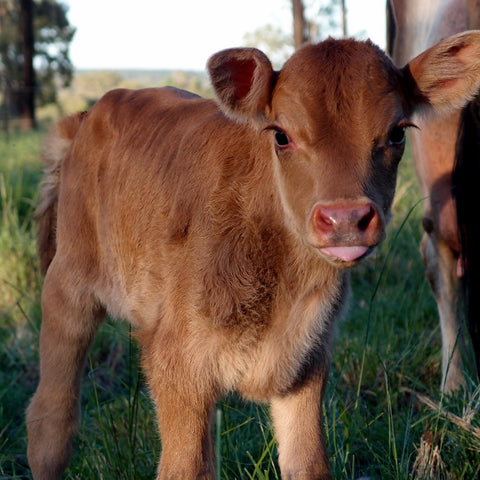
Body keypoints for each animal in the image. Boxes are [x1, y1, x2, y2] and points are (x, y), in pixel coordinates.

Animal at [26, 34, 480, 480]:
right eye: (280, 135)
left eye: (398, 133)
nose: (346, 218)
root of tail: (89, 113)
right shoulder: (175, 361)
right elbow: (184, 468)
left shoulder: (307, 357)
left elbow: (307, 463)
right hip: (68, 284)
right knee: (50, 421)